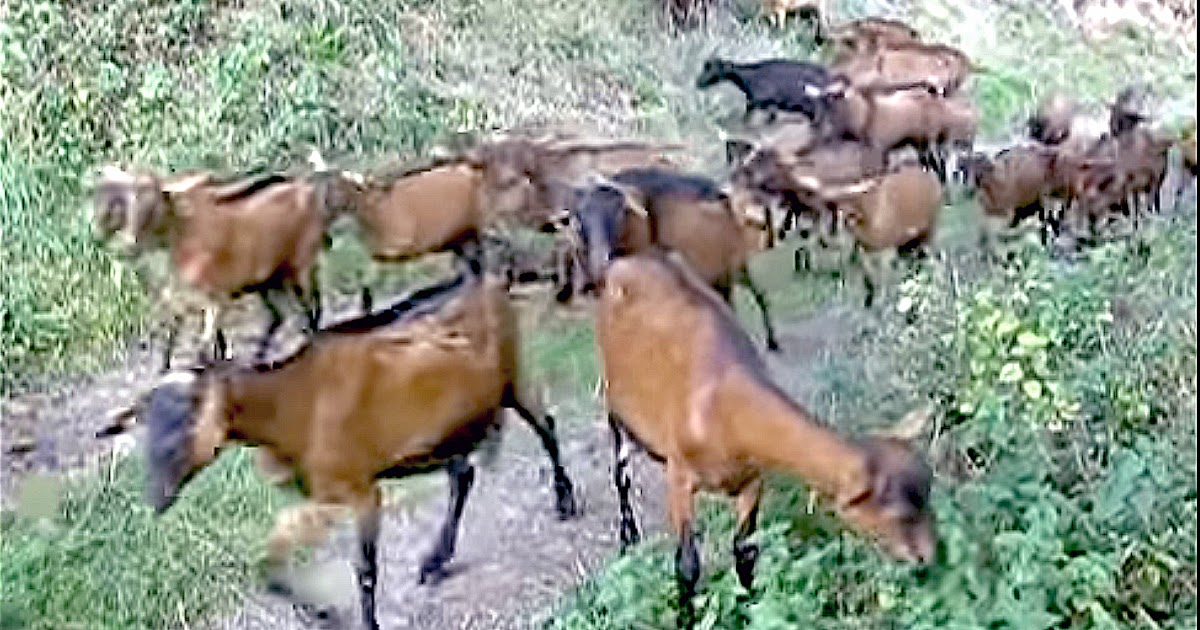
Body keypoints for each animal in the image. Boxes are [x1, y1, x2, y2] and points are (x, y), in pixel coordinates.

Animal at [92, 165, 328, 370]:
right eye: (126, 205)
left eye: (152, 205)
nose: (130, 244)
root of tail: (306, 192)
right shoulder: (187, 298)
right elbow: (185, 332)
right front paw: (166, 366)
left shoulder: (215, 299)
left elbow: (203, 346)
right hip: (274, 279)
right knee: (285, 314)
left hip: (299, 268)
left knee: (310, 309)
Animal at [96, 265, 579, 630]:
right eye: (145, 429)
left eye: (190, 417)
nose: (157, 497)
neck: (293, 404)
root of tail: (482, 280)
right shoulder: (320, 492)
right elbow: (271, 563)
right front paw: (322, 614)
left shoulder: (361, 489)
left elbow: (365, 570)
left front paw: (364, 622)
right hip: (441, 434)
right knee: (464, 474)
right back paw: (435, 560)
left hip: (513, 377)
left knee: (546, 427)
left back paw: (565, 501)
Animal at [594, 251, 937, 627]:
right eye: (900, 515)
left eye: (928, 490)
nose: (930, 558)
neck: (720, 405)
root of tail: (625, 261)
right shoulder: (680, 475)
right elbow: (686, 564)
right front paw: (685, 618)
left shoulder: (753, 479)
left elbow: (746, 550)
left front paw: (749, 607)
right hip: (613, 397)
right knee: (621, 471)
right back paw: (628, 539)